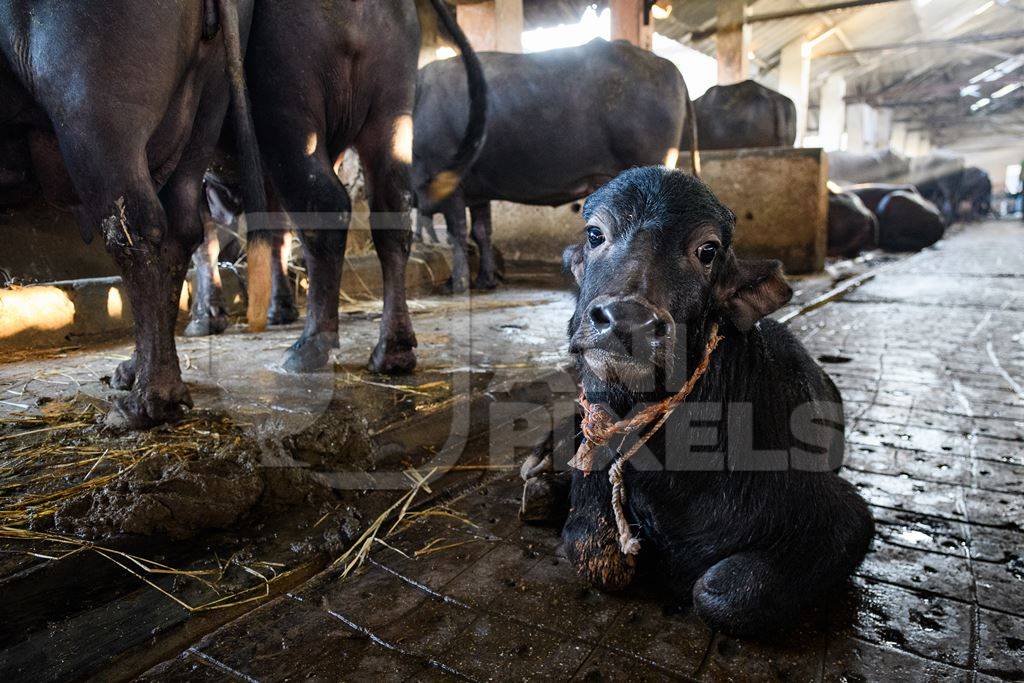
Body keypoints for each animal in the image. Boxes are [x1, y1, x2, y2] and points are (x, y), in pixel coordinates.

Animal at [409, 38, 696, 292]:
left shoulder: (449, 185)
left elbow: (457, 234)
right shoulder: (477, 191)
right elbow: (481, 232)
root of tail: (667, 66)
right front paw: (485, 280)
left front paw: (456, 283)